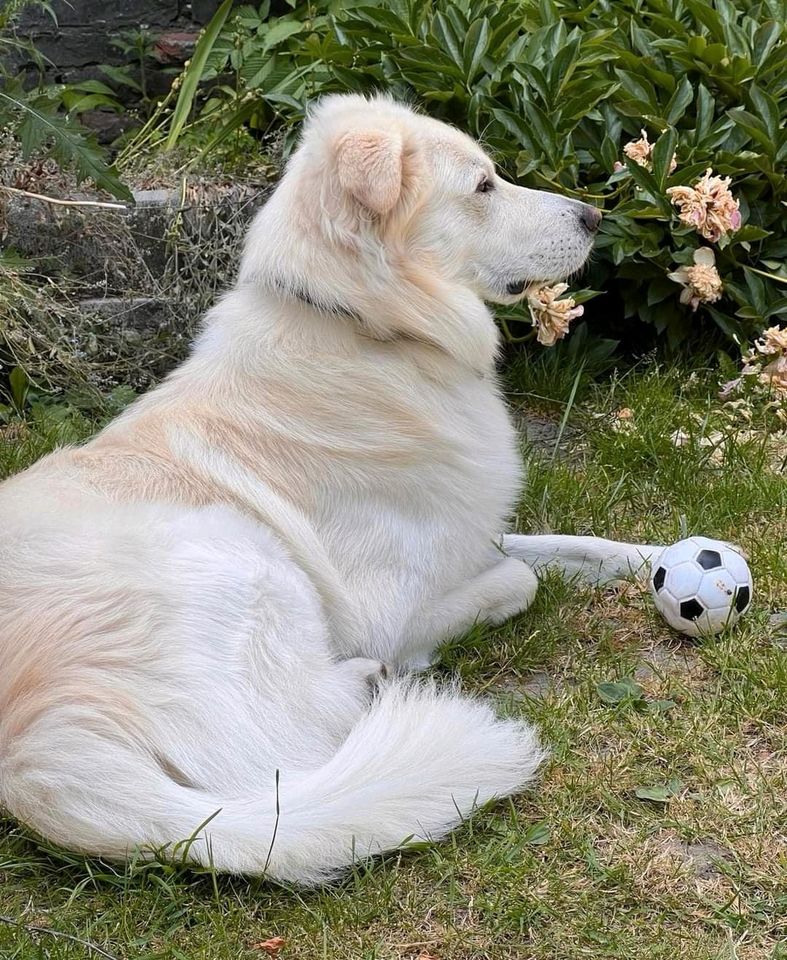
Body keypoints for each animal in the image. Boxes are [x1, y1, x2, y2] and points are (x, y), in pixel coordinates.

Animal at [0, 97, 664, 884]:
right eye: (483, 186)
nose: (594, 215)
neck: (371, 330)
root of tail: (37, 750)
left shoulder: (469, 530)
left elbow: (569, 547)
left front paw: (660, 560)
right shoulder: (394, 608)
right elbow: (519, 578)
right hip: (249, 562)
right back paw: (372, 684)